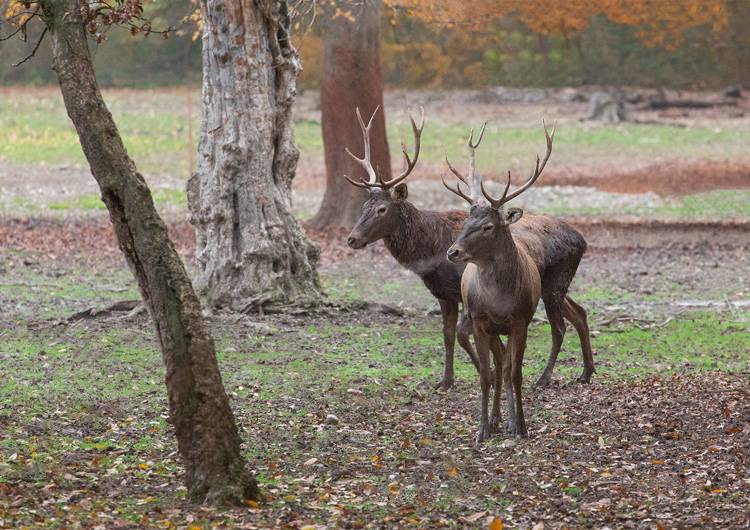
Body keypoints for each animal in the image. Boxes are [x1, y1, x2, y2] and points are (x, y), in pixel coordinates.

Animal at [344, 107, 594, 391]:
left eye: (382, 209)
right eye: (364, 206)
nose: (352, 239)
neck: (430, 254)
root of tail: (582, 240)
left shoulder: (466, 292)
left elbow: (464, 334)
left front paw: (485, 373)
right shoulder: (445, 294)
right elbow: (448, 335)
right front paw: (446, 381)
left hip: (555, 284)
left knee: (560, 327)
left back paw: (545, 377)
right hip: (551, 286)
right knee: (580, 313)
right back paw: (586, 371)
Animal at [444, 122, 553, 440]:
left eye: (488, 226)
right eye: (464, 223)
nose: (452, 252)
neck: (499, 302)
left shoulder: (520, 321)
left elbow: (514, 373)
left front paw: (521, 426)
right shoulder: (480, 322)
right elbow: (485, 375)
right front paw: (482, 429)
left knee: (505, 366)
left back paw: (509, 420)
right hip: (489, 329)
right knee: (497, 364)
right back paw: (495, 420)